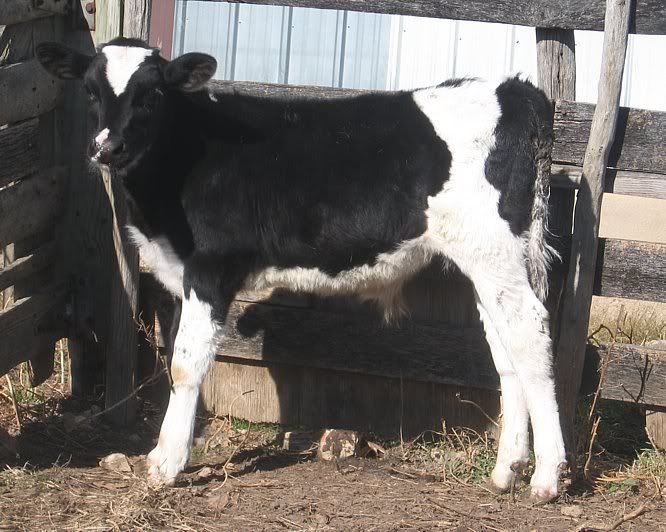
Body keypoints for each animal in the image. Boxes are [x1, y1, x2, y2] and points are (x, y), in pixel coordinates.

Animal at [36, 37, 566, 502]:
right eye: (91, 90)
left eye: (151, 94)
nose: (108, 148)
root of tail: (515, 90)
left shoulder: (210, 269)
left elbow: (186, 363)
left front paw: (165, 463)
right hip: (487, 262)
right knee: (506, 350)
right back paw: (506, 471)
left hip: (495, 251)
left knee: (531, 336)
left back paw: (547, 478)